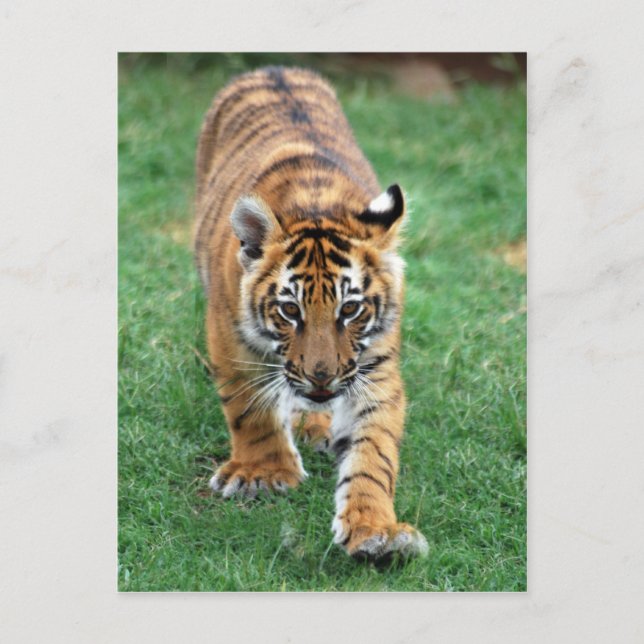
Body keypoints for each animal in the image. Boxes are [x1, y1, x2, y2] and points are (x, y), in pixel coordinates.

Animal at [194, 66, 428, 560]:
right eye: (289, 310)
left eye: (351, 309)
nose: (322, 377)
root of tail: (274, 68)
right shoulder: (230, 336)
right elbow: (250, 407)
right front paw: (262, 475)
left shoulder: (375, 367)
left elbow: (374, 453)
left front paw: (376, 530)